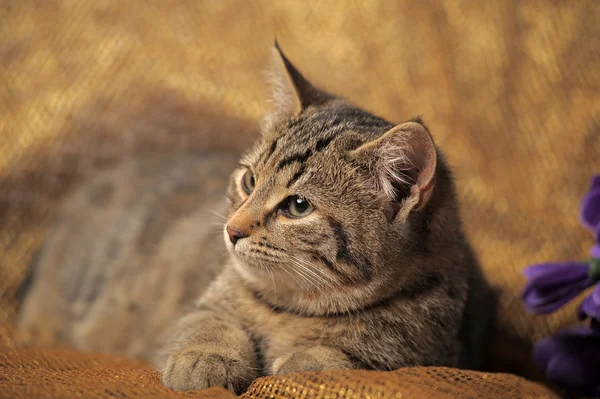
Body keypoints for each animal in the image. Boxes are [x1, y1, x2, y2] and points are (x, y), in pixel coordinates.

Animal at [19, 44, 496, 394]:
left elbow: (342, 358)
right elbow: (207, 325)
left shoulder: (429, 350)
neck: (292, 308)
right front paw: (207, 360)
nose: (232, 230)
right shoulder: (207, 304)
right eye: (250, 180)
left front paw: (304, 362)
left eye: (297, 206)